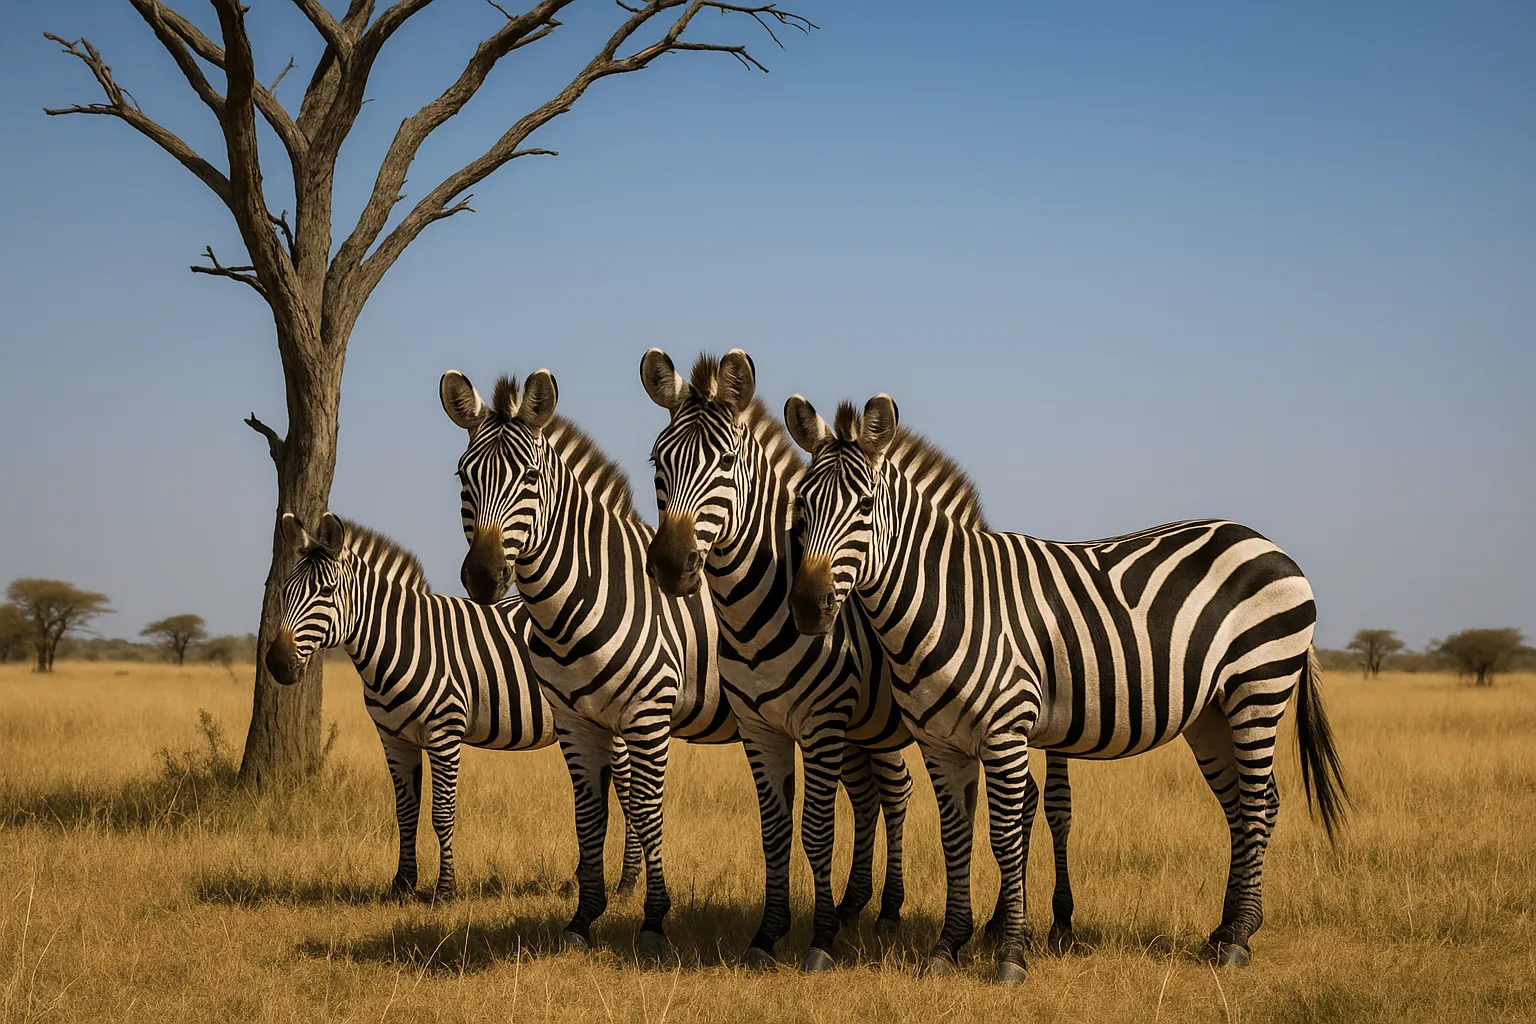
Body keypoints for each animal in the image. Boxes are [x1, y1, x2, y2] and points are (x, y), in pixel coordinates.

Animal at [265, 511, 642, 902]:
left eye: (326, 591)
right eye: (283, 590)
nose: (277, 664)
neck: (400, 642)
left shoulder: (443, 733)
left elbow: (441, 813)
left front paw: (445, 888)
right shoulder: (393, 738)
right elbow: (405, 811)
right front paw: (402, 884)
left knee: (630, 797)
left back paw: (626, 884)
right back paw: (583, 878)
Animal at [440, 369, 738, 960]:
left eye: (531, 478)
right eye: (464, 476)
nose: (483, 576)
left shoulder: (648, 715)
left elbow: (645, 808)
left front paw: (653, 921)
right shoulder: (576, 722)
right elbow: (590, 814)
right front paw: (583, 919)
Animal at [640, 348, 916, 971]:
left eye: (726, 462)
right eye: (656, 461)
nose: (669, 566)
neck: (749, 616)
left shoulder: (821, 722)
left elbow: (815, 828)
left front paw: (819, 940)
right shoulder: (758, 727)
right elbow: (773, 828)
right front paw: (769, 934)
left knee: (899, 792)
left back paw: (889, 913)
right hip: (866, 728)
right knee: (875, 797)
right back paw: (862, 907)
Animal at [782, 394, 1348, 982]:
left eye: (867, 505)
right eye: (800, 506)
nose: (807, 608)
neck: (950, 598)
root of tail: (1267, 543)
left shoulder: (1006, 731)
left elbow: (1004, 837)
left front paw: (1010, 953)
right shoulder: (940, 743)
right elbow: (954, 837)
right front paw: (948, 946)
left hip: (1258, 688)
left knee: (1259, 804)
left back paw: (1237, 939)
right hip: (1211, 714)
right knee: (1244, 805)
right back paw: (1224, 931)